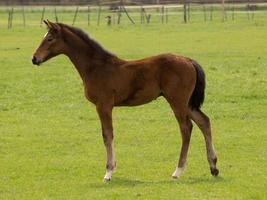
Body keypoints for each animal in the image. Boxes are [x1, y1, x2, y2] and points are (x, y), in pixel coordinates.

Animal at [31, 20, 220, 181]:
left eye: (49, 39)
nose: (34, 58)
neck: (96, 67)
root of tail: (189, 60)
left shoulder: (103, 105)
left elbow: (107, 135)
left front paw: (108, 172)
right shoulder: (105, 106)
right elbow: (108, 134)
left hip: (177, 102)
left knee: (186, 128)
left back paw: (178, 171)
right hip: (187, 103)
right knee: (204, 122)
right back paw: (213, 167)